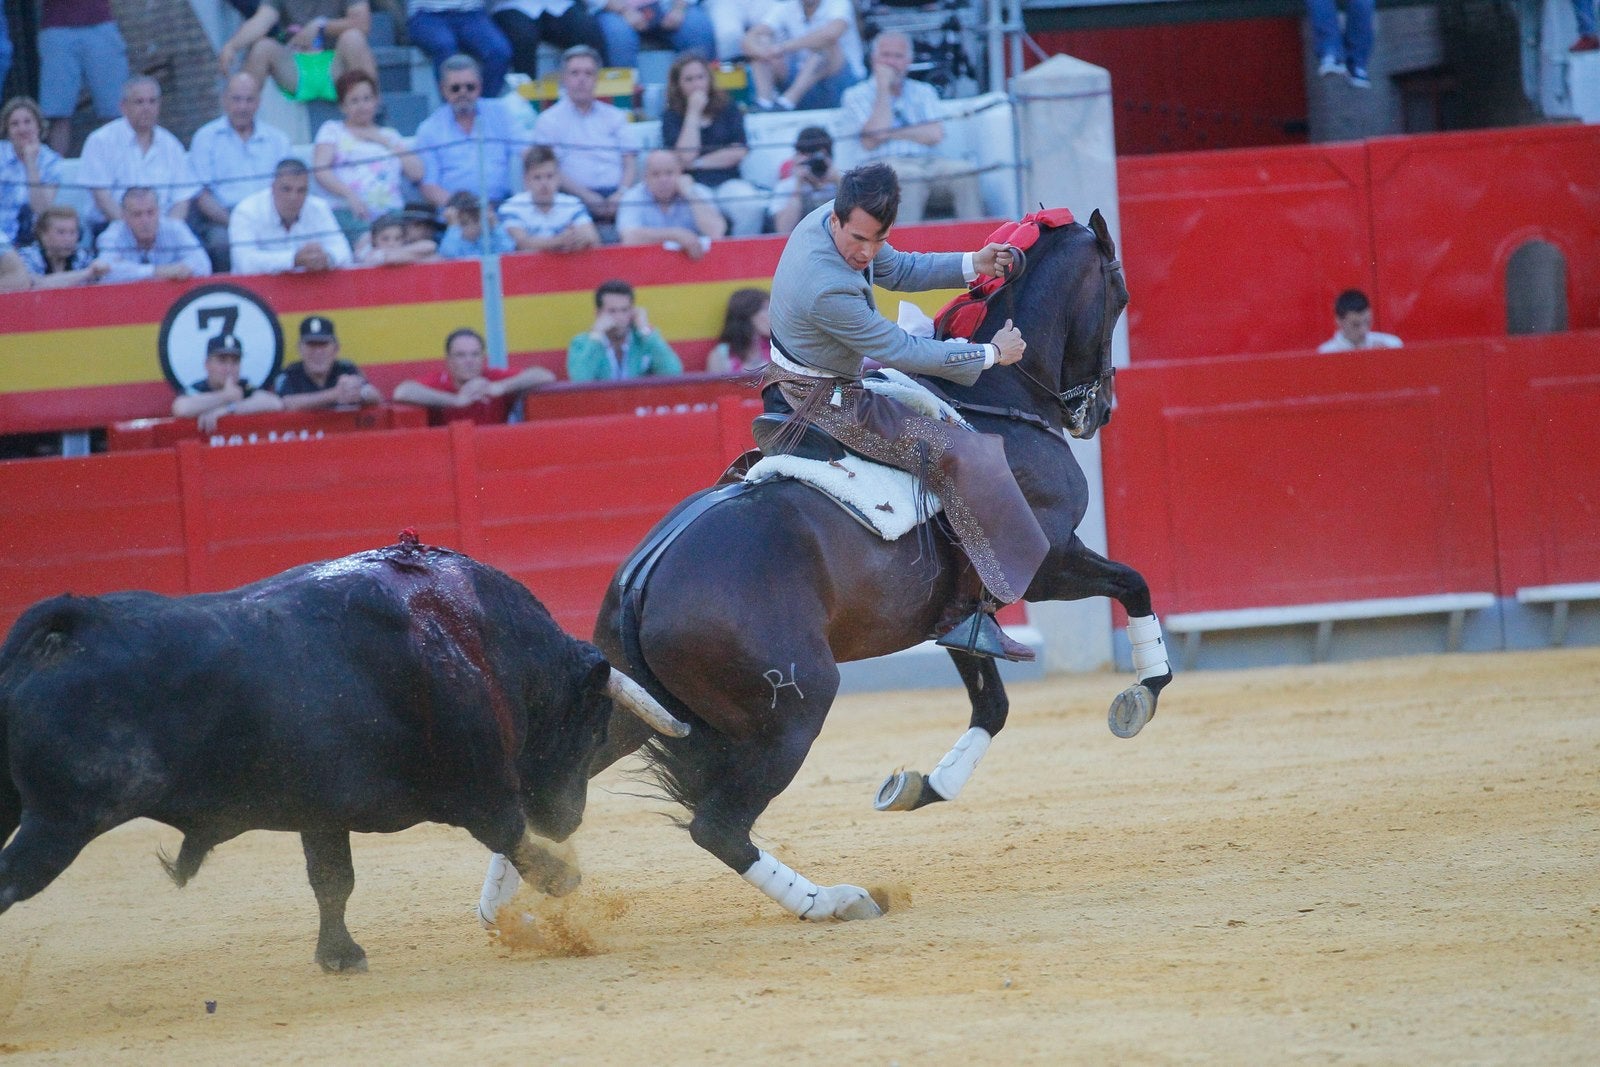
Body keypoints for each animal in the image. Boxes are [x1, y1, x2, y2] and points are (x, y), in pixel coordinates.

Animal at [0, 537, 681, 972]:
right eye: (591, 726)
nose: (567, 820)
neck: (474, 637)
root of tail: (61, 637)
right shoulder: (476, 785)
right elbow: (507, 832)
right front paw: (564, 877)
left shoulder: (321, 812)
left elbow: (332, 881)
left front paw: (339, 956)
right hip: (62, 819)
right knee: (12, 879)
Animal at [480, 211, 1171, 927]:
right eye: (1119, 294)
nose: (1098, 411)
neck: (999, 404)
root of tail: (643, 584)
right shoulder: (1045, 562)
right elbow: (1134, 583)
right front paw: (1139, 696)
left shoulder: (962, 611)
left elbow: (994, 703)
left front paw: (920, 785)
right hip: (799, 701)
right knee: (718, 827)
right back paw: (836, 900)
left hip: (635, 705)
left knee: (555, 787)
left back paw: (507, 902)